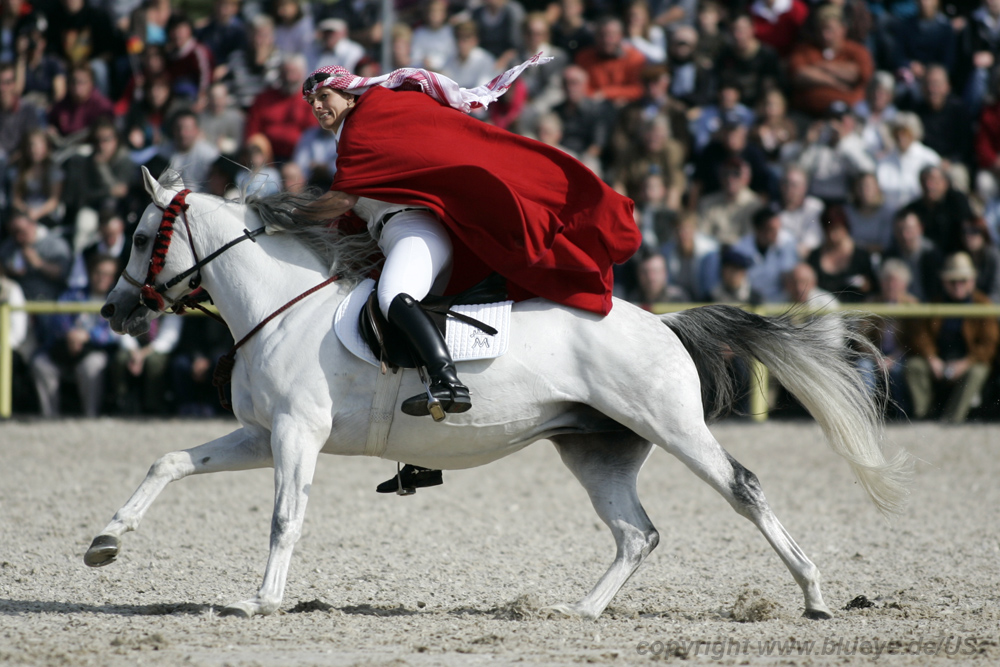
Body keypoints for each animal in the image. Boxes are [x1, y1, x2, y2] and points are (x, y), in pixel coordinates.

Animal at [88, 167, 908, 620]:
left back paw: (814, 594)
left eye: (140, 237)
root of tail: (662, 322)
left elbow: (285, 518)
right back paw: (580, 611)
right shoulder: (263, 435)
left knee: (742, 487)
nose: (114, 310)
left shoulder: (296, 435)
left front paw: (259, 600)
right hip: (595, 450)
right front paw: (105, 541)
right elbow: (168, 461)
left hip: (671, 425)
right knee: (636, 533)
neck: (279, 304)